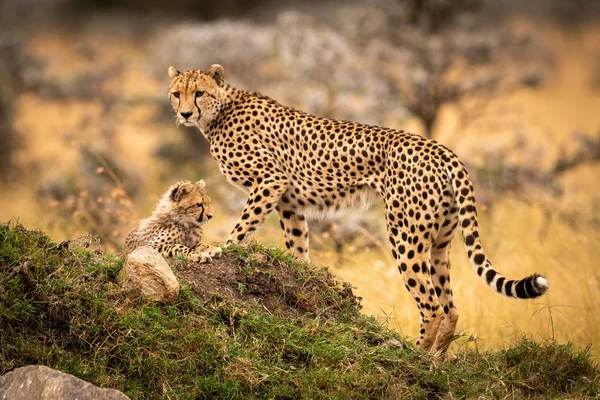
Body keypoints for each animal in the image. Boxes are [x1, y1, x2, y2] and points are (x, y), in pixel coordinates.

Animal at [168, 64, 548, 354]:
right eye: (176, 93)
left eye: (198, 93)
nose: (184, 113)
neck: (219, 113)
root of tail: (442, 149)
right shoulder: (289, 199)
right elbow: (298, 245)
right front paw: (303, 277)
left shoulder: (271, 181)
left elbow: (241, 228)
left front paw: (220, 250)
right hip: (440, 242)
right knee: (451, 307)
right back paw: (436, 361)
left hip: (404, 235)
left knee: (432, 307)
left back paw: (414, 356)